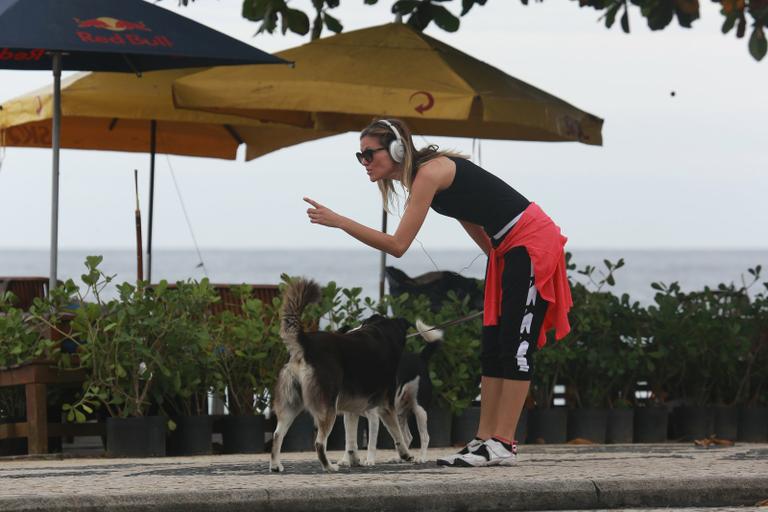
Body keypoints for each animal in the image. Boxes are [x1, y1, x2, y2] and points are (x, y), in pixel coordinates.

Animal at [270, 278, 414, 474]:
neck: (382, 331)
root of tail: (305, 343)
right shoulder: (386, 405)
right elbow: (397, 433)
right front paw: (405, 454)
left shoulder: (351, 409)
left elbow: (351, 440)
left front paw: (354, 460)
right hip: (327, 408)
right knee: (319, 442)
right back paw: (328, 466)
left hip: (291, 404)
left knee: (277, 435)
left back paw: (276, 465)